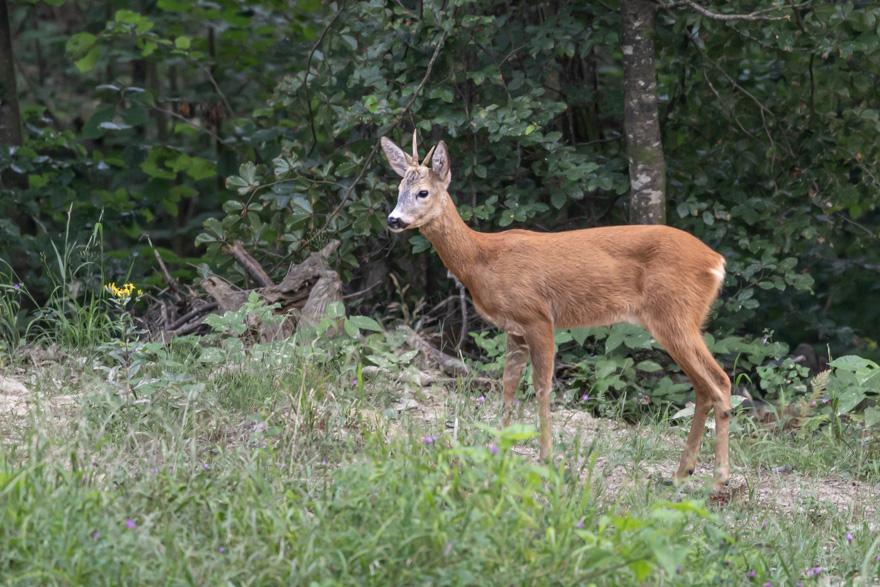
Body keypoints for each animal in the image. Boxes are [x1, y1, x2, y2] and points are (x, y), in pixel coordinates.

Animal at [382, 133, 732, 492]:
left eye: (423, 192)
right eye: (398, 188)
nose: (394, 220)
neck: (483, 261)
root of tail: (716, 262)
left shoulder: (538, 317)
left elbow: (541, 388)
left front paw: (546, 459)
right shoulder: (513, 328)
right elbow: (508, 387)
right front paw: (497, 450)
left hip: (674, 314)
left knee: (719, 381)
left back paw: (718, 478)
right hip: (679, 318)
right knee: (704, 386)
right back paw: (682, 473)